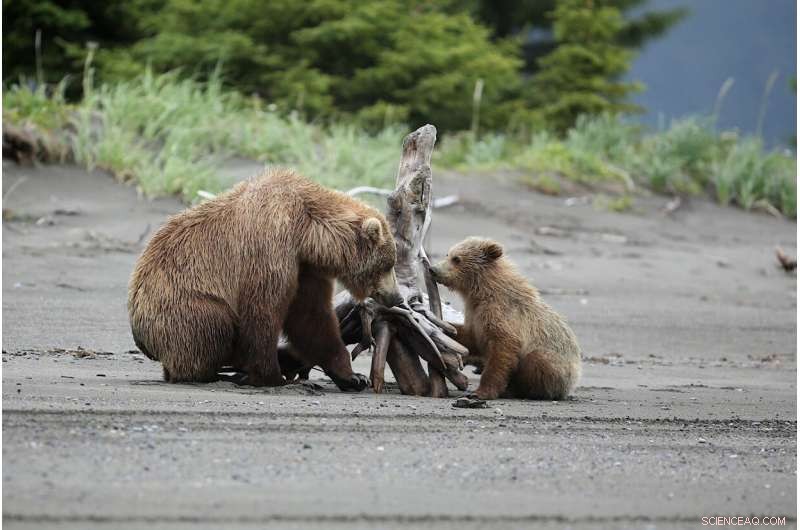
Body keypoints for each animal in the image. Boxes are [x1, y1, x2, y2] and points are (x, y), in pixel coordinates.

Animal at [128, 167, 402, 391]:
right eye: (388, 264)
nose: (396, 297)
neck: (309, 233)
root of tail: (141, 337)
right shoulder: (271, 243)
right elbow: (263, 311)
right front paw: (270, 376)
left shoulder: (305, 267)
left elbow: (312, 318)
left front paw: (352, 376)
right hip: (178, 306)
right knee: (211, 327)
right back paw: (220, 372)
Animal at [430, 237, 581, 400]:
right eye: (448, 254)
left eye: (457, 259)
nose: (433, 269)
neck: (482, 291)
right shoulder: (475, 315)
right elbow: (471, 336)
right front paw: (442, 327)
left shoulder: (504, 315)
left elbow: (502, 351)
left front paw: (481, 392)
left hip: (558, 367)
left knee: (537, 360)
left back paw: (519, 390)